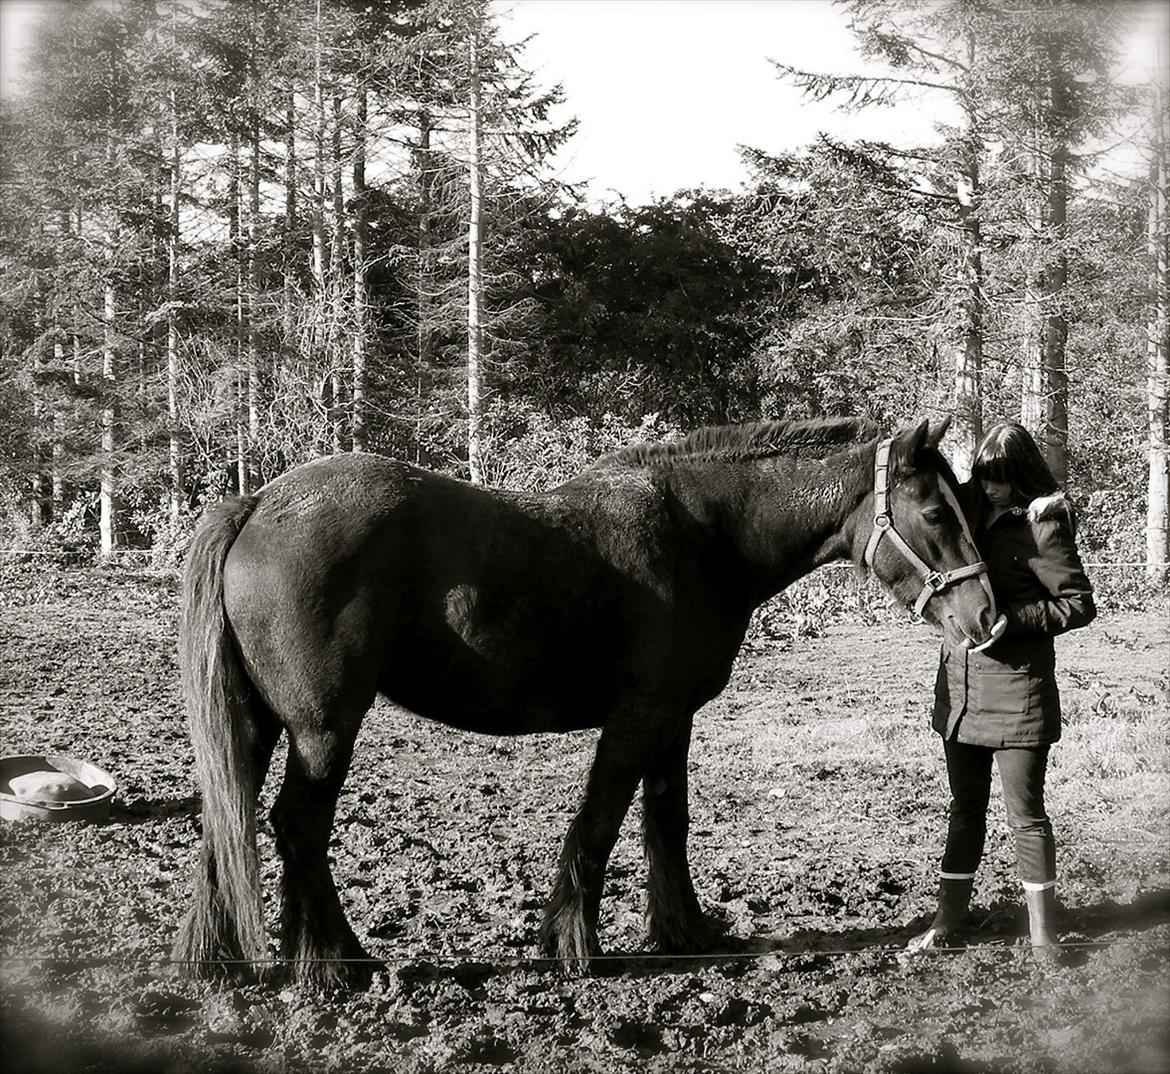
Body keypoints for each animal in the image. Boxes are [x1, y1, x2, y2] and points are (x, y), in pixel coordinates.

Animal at [173, 416, 996, 987]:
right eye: (935, 513)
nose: (987, 617)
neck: (703, 537)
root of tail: (256, 504)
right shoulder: (637, 718)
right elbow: (599, 822)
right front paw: (574, 946)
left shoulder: (673, 720)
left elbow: (667, 823)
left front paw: (685, 934)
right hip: (323, 729)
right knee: (296, 828)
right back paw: (336, 965)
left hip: (256, 724)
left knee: (228, 818)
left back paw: (219, 960)